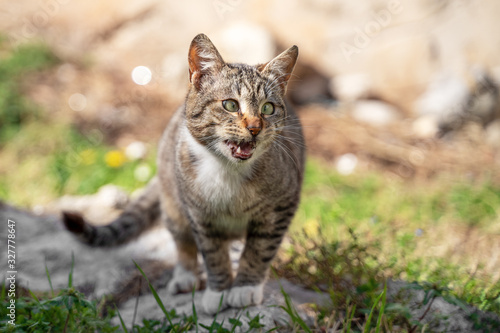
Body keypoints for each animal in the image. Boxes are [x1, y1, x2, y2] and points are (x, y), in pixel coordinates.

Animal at [62, 32, 304, 312]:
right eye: (230, 105)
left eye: (267, 108)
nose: (255, 128)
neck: (228, 171)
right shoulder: (199, 214)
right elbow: (212, 253)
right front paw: (218, 291)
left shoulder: (280, 208)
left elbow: (260, 249)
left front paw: (244, 288)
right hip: (173, 202)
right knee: (182, 239)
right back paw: (186, 275)